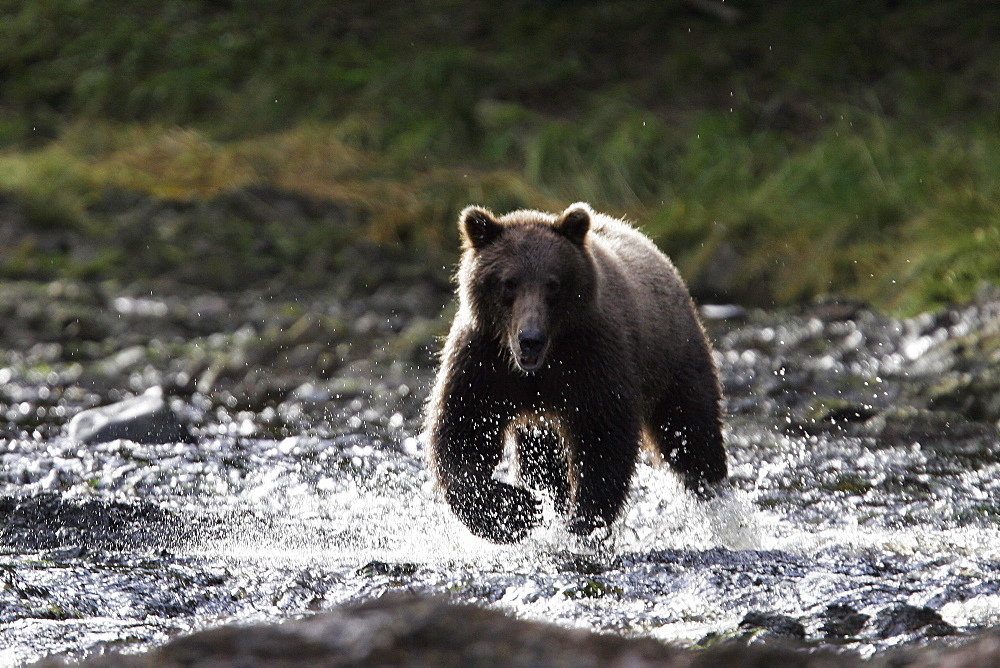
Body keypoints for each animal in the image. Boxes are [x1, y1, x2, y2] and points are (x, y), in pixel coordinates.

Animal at [424, 204, 728, 544]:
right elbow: (462, 433)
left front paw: (583, 523)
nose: (530, 338)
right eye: (509, 282)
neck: (540, 366)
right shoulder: (484, 362)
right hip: (541, 422)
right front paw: (518, 510)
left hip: (673, 356)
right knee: (541, 463)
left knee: (690, 430)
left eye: (553, 283)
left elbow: (603, 439)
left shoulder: (591, 359)